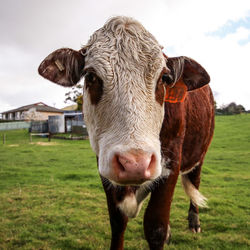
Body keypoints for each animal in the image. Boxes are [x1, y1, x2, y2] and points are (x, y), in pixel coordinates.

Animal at [38, 16, 214, 250]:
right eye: (90, 75)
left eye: (164, 78)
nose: (134, 163)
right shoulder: (104, 167)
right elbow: (117, 221)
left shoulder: (172, 163)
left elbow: (156, 227)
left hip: (199, 153)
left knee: (195, 181)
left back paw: (194, 221)